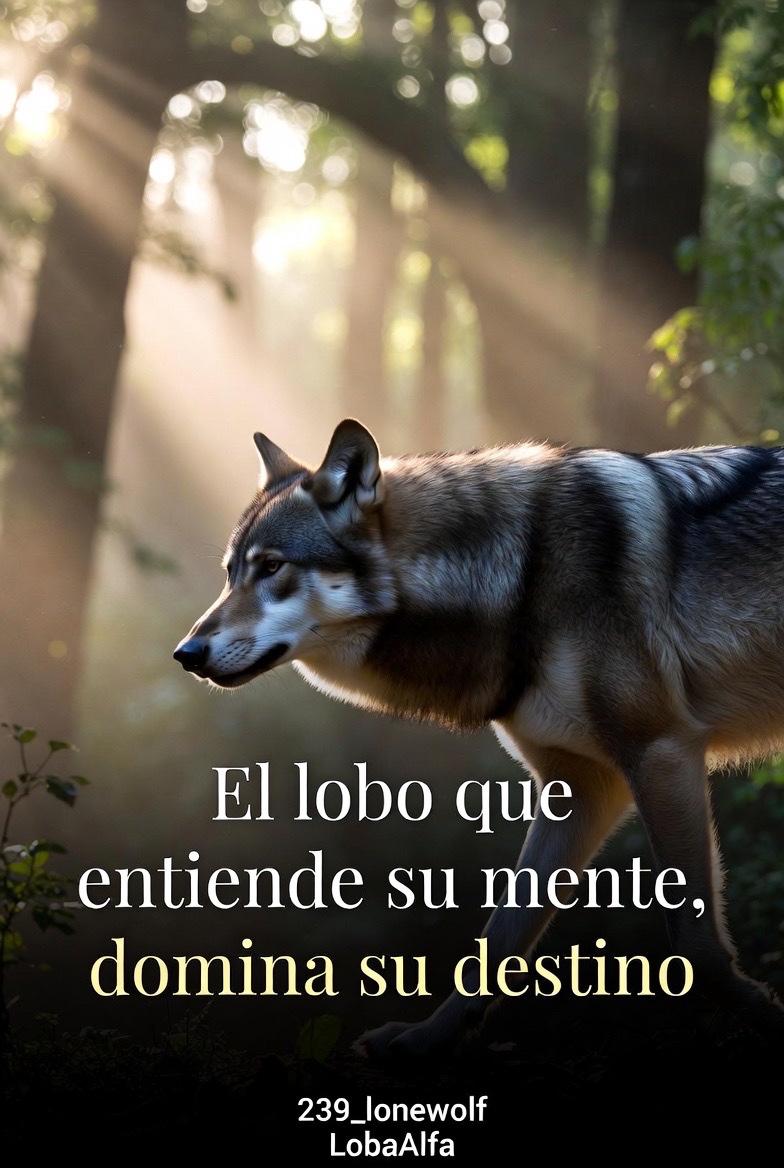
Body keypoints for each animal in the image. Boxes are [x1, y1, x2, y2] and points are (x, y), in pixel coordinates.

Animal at [174, 418, 784, 1058]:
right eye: (230, 574)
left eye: (271, 567)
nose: (186, 654)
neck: (524, 578)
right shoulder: (583, 788)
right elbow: (496, 942)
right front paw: (424, 1039)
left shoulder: (660, 752)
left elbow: (695, 947)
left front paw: (771, 1018)